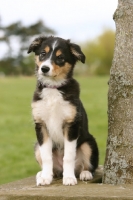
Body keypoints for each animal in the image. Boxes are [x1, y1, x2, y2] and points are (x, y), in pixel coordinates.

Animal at [27, 36, 98, 186]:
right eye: (43, 53)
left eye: (60, 58)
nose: (44, 68)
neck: (53, 88)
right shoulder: (41, 125)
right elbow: (46, 156)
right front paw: (45, 178)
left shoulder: (71, 125)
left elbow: (69, 156)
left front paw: (69, 178)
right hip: (36, 146)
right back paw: (44, 174)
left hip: (89, 143)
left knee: (88, 165)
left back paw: (85, 174)